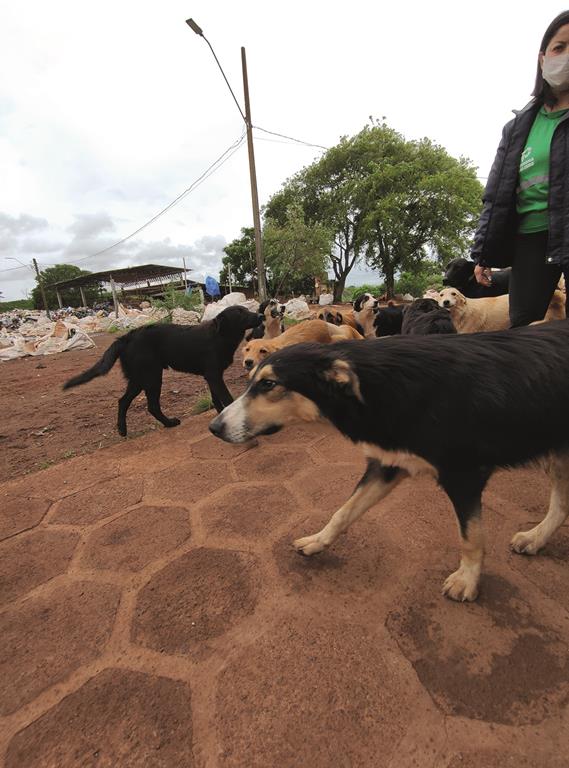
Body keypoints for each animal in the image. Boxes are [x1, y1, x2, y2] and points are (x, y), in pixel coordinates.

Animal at [63, 306, 260, 438]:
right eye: (240, 312)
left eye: (246, 309)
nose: (259, 315)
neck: (220, 336)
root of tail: (126, 337)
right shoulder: (214, 376)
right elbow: (227, 398)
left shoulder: (212, 376)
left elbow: (217, 400)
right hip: (151, 377)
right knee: (151, 406)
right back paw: (169, 423)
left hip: (139, 379)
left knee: (123, 401)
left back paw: (123, 429)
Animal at [211, 320, 568, 604]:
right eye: (250, 380)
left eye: (269, 384)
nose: (214, 428)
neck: (380, 386)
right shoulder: (388, 464)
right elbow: (343, 512)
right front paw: (317, 542)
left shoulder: (464, 476)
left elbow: (471, 537)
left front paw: (467, 580)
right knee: (561, 506)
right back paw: (535, 538)